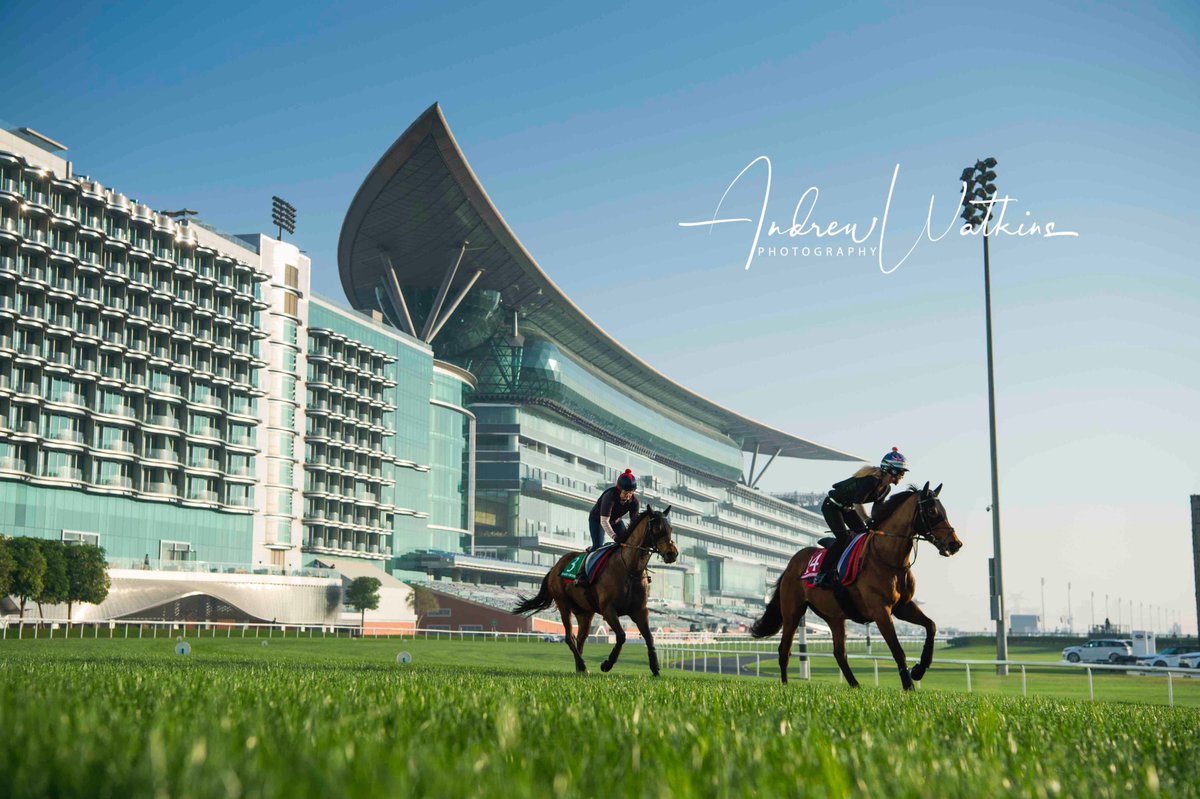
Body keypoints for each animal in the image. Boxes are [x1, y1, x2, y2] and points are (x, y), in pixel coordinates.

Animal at [513, 503, 676, 671]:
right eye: (656, 528)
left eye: (670, 528)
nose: (672, 554)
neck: (629, 569)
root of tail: (555, 567)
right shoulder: (608, 609)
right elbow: (621, 636)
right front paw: (607, 664)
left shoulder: (640, 610)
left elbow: (649, 637)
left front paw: (655, 667)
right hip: (563, 604)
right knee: (569, 637)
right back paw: (582, 666)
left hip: (585, 612)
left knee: (581, 638)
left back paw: (580, 668)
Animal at [748, 482, 964, 686]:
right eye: (932, 511)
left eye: (943, 510)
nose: (955, 544)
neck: (888, 558)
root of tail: (790, 564)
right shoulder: (880, 610)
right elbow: (897, 650)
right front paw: (909, 685)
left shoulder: (902, 606)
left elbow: (931, 626)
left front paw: (920, 669)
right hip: (792, 611)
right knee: (784, 649)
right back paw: (785, 685)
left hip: (834, 617)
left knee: (839, 653)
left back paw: (855, 685)